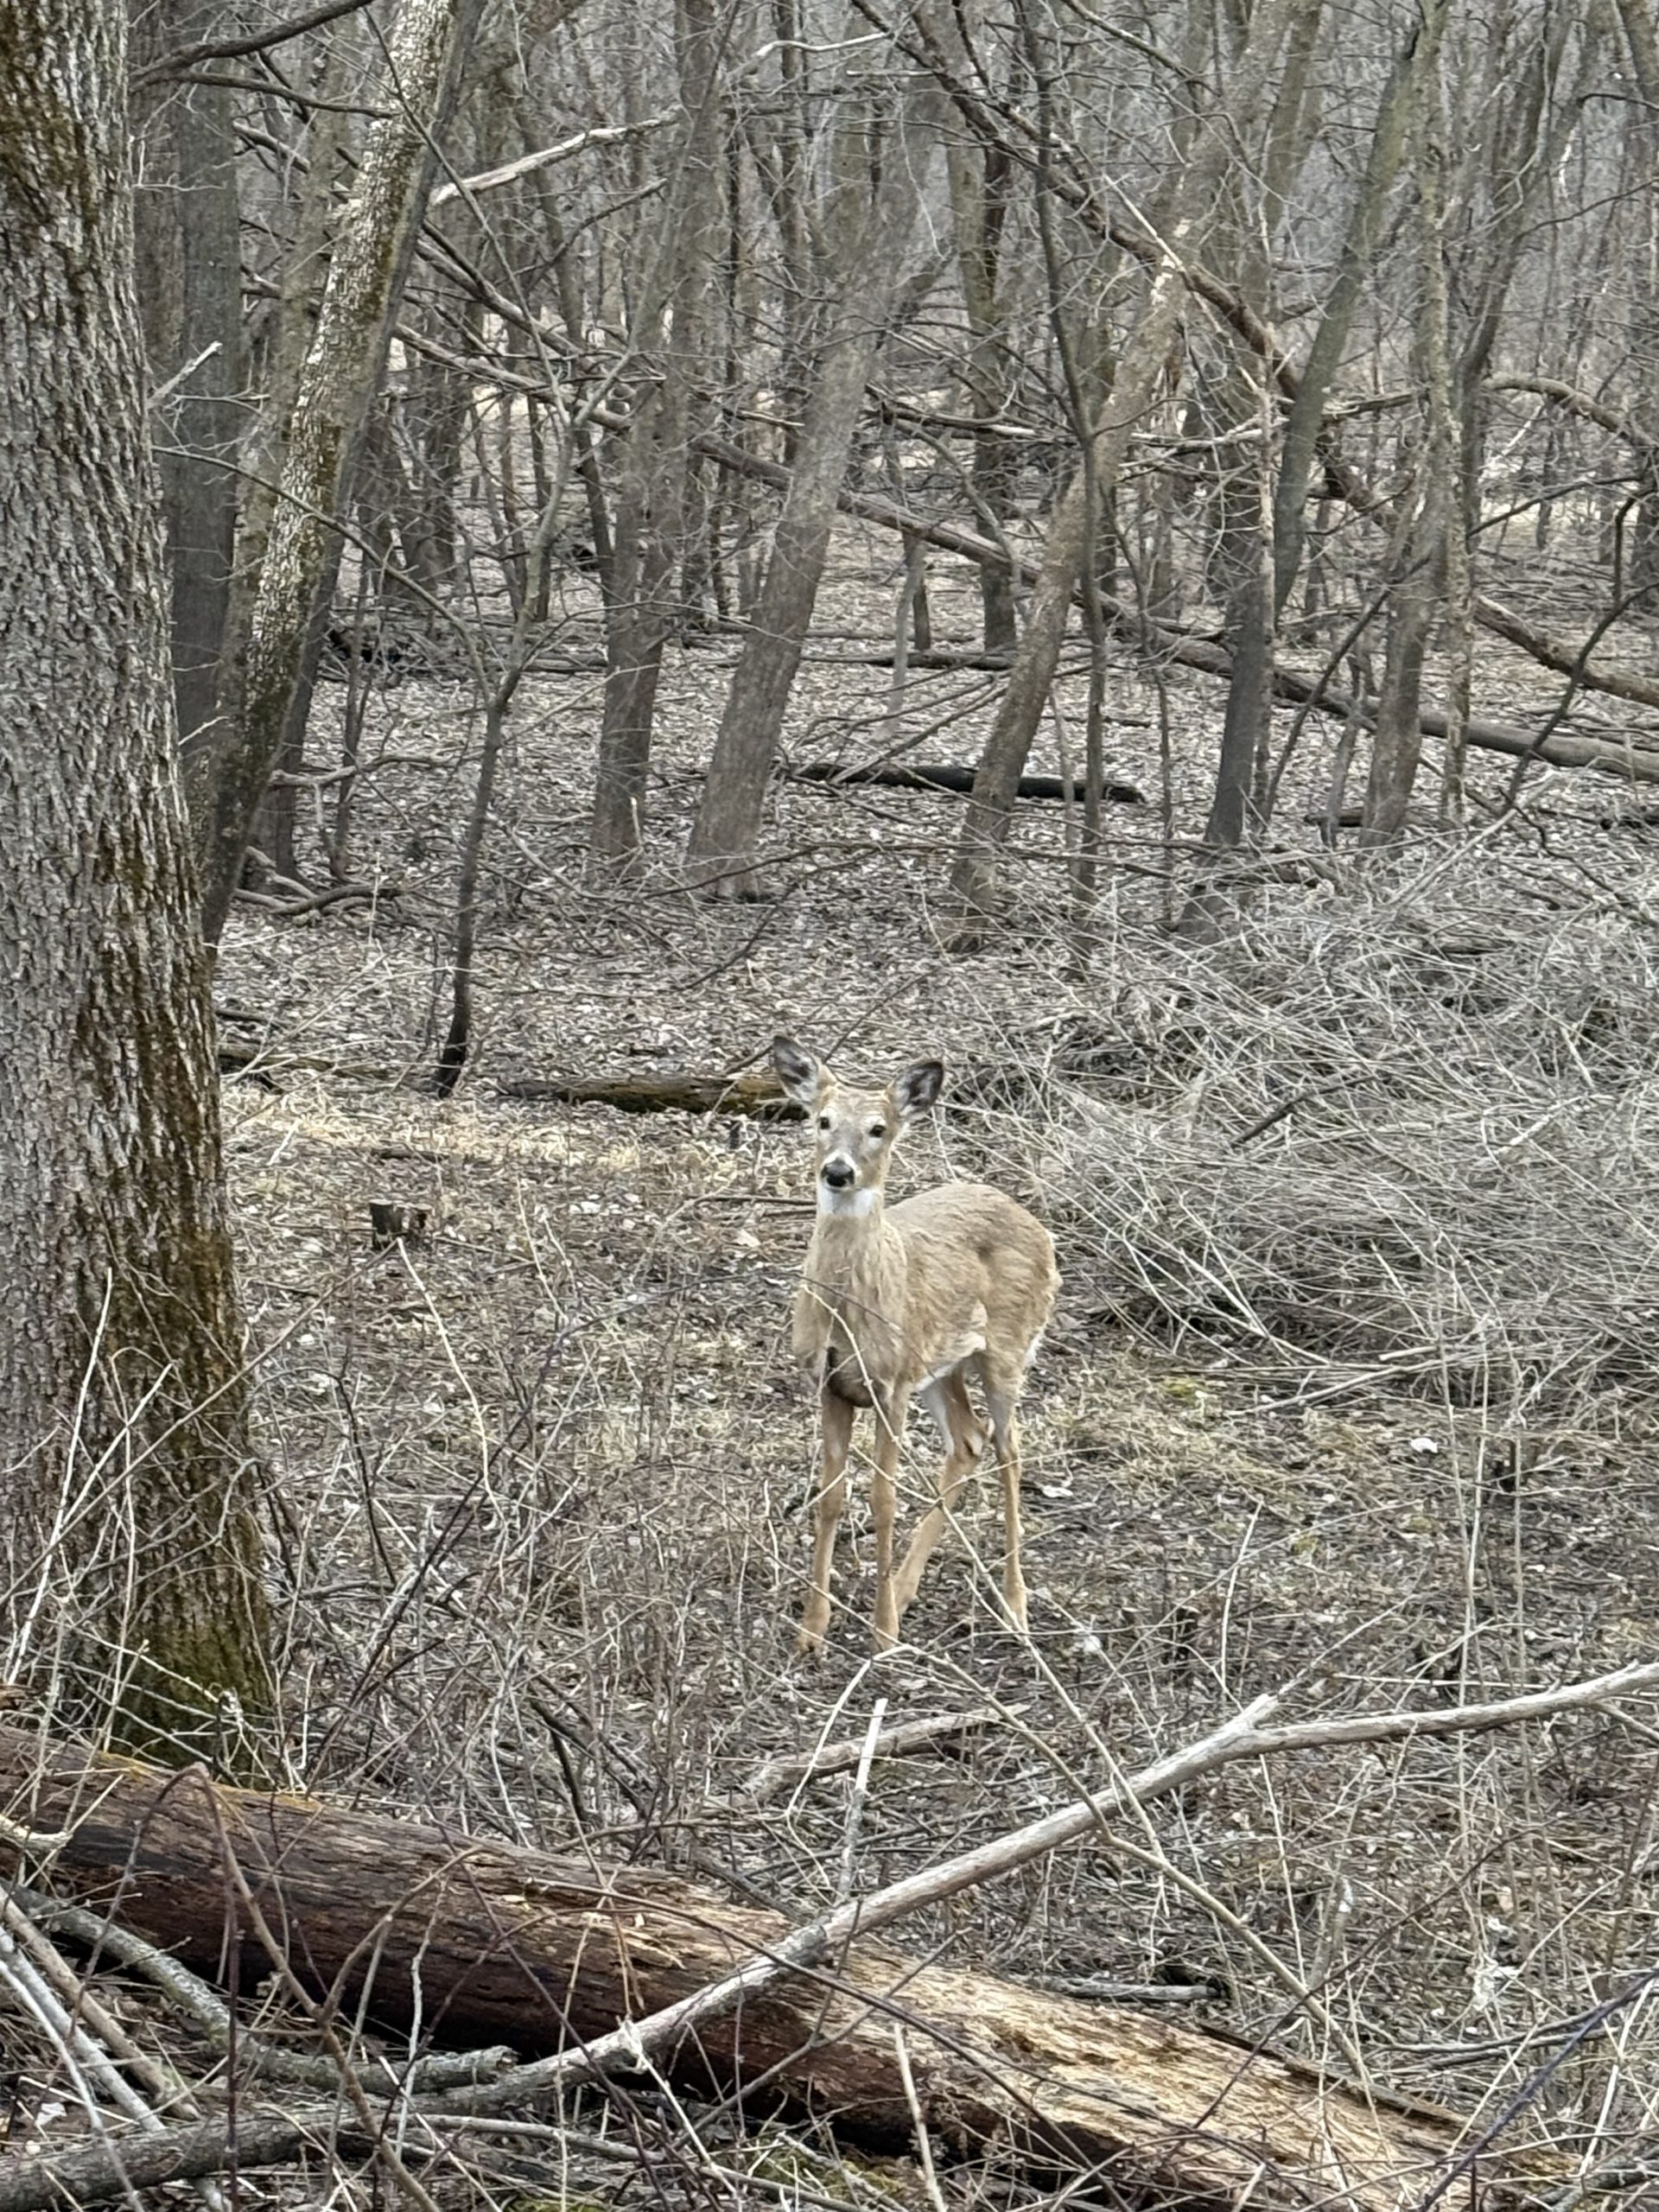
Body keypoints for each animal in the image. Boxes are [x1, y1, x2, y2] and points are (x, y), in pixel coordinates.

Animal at [769, 1036, 1059, 1654]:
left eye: (879, 1128)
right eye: (821, 1120)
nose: (837, 1171)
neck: (849, 1314)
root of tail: (1038, 1226)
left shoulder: (891, 1384)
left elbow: (883, 1499)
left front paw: (882, 1635)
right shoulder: (829, 1383)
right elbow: (830, 1496)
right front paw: (812, 1630)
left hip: (1005, 1348)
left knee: (1010, 1449)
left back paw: (1014, 1606)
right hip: (942, 1363)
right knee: (969, 1441)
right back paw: (906, 1589)